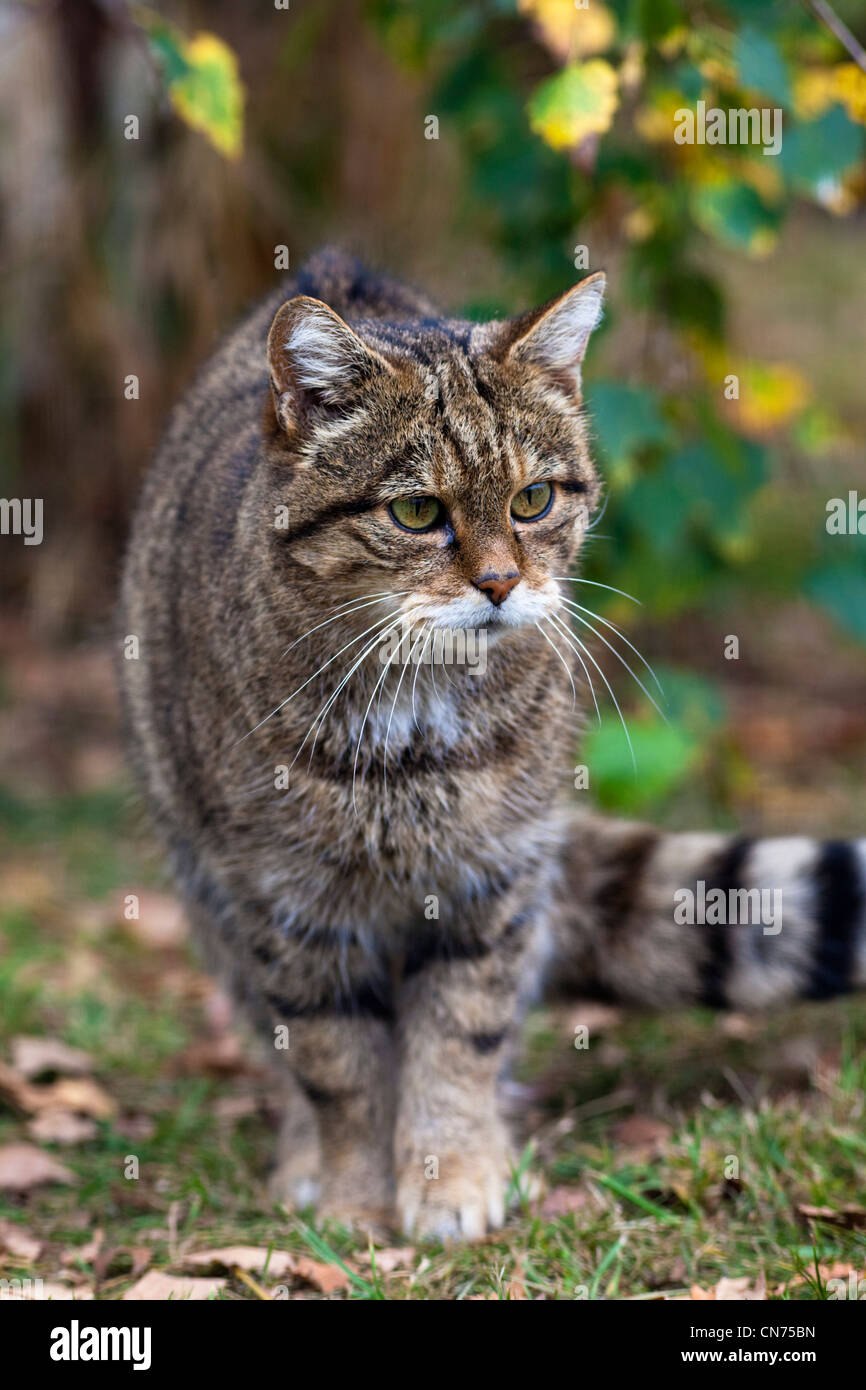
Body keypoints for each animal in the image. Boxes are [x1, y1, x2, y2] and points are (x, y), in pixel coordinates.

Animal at [120, 250, 866, 1239]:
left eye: (533, 500)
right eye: (414, 511)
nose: (503, 583)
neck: (413, 734)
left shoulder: (494, 879)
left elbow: (458, 1042)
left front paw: (452, 1179)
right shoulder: (287, 903)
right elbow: (336, 1065)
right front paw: (355, 1199)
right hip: (213, 897)